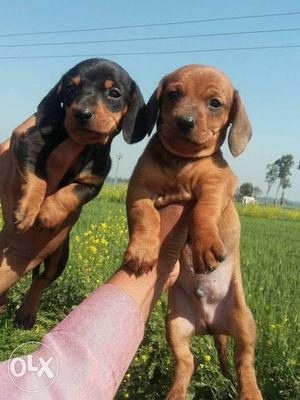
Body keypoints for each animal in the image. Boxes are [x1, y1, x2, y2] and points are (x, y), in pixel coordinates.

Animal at [0, 58, 146, 328]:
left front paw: (48, 213)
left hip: (60, 254)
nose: (82, 113)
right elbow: (38, 179)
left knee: (42, 280)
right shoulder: (28, 142)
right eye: (70, 89)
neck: (81, 145)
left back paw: (27, 312)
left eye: (114, 93)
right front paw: (27, 211)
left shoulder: (93, 181)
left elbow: (72, 192)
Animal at [123, 64, 262, 398]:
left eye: (215, 103)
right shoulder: (139, 190)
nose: (184, 121)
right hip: (175, 325)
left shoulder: (218, 184)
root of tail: (210, 324)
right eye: (173, 94)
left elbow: (203, 211)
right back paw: (175, 393)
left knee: (244, 362)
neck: (182, 162)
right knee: (187, 362)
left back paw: (251, 391)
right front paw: (142, 250)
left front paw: (204, 246)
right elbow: (146, 216)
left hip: (245, 324)